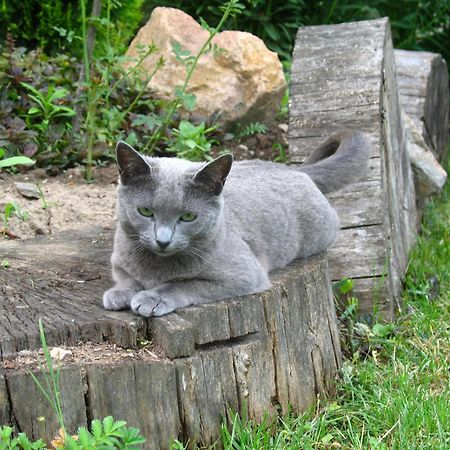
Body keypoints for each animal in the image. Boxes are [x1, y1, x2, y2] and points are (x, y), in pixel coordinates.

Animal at [104, 130, 370, 316]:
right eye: (145, 211)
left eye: (188, 217)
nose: (163, 240)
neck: (156, 266)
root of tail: (297, 170)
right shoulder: (119, 260)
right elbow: (127, 277)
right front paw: (120, 293)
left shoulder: (244, 275)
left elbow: (183, 284)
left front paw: (151, 298)